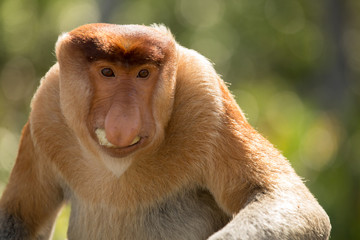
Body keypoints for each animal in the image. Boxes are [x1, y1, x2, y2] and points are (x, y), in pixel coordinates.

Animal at [0, 23, 330, 240]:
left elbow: (287, 200)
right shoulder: (46, 108)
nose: (124, 120)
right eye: (108, 72)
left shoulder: (205, 97)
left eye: (143, 74)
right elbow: (20, 216)